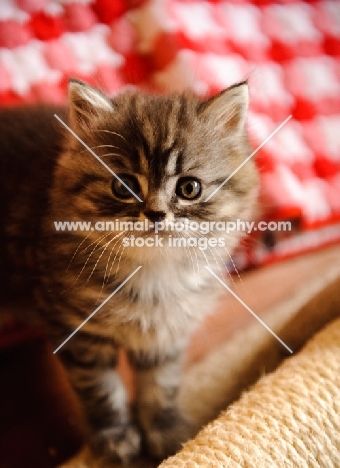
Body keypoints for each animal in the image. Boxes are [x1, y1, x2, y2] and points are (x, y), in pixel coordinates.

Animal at [0, 80, 258, 464]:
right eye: (123, 187)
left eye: (189, 188)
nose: (155, 214)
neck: (152, 274)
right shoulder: (78, 332)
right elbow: (103, 391)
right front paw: (115, 439)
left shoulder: (166, 333)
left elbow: (160, 386)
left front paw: (166, 435)